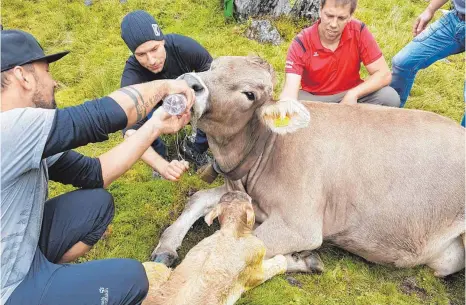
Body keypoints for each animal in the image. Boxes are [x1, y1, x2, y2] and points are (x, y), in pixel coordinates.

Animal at [152, 55, 462, 276]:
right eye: (213, 66)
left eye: (249, 94)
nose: (188, 81)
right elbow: (200, 198)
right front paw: (166, 246)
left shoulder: (299, 225)